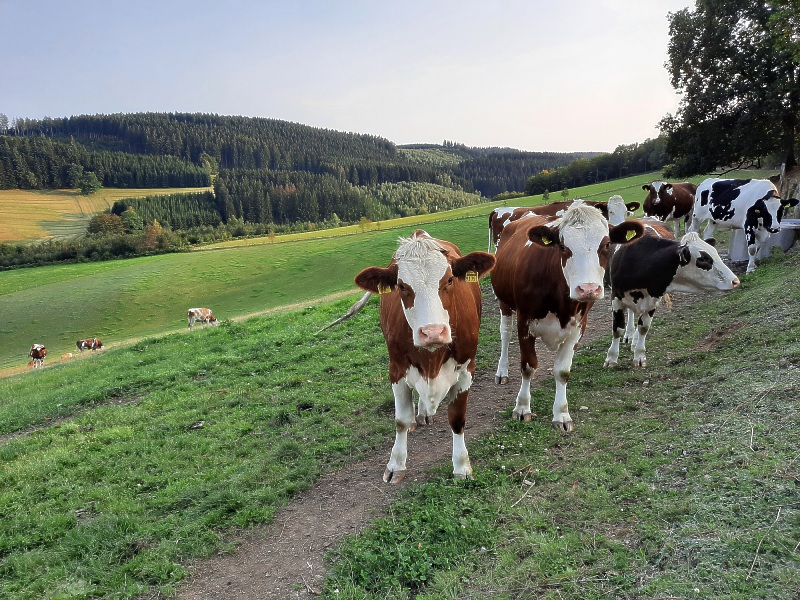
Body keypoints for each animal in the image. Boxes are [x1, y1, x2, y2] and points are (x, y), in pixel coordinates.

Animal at [354, 227, 494, 480]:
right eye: (401, 286)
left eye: (449, 279)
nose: (432, 333)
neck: (432, 357)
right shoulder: (396, 369)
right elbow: (400, 421)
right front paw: (396, 464)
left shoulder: (467, 368)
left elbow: (457, 419)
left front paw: (461, 466)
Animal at [490, 205, 648, 432]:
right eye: (563, 246)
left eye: (606, 244)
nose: (588, 289)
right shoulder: (525, 324)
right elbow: (528, 366)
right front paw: (522, 408)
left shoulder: (578, 328)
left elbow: (562, 371)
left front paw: (561, 414)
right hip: (505, 303)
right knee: (505, 334)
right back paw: (502, 371)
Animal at [604, 220, 740, 368]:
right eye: (703, 259)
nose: (735, 281)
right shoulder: (616, 298)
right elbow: (618, 329)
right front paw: (611, 358)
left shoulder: (653, 299)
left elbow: (643, 328)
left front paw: (639, 355)